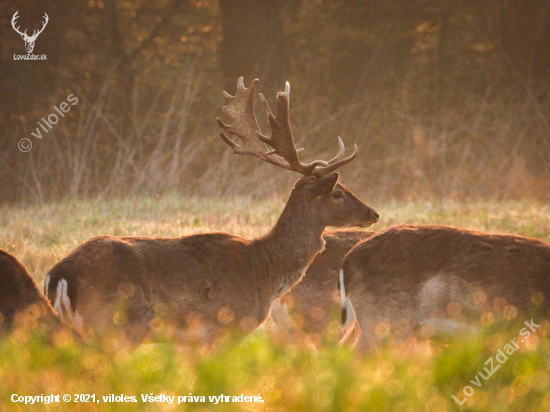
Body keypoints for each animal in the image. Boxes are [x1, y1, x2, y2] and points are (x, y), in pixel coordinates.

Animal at [44, 78, 380, 348]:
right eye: (337, 193)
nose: (374, 214)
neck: (265, 271)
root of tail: (58, 274)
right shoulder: (226, 326)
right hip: (115, 323)